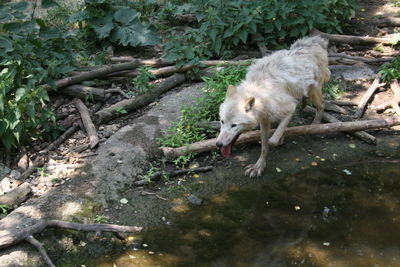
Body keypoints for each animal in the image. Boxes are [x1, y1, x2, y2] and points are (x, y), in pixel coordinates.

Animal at [217, 35, 330, 178]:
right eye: (222, 122)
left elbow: (272, 141)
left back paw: (315, 124)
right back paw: (304, 103)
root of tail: (314, 40)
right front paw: (258, 167)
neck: (260, 91)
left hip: (314, 91)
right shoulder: (264, 120)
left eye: (234, 125)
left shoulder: (289, 108)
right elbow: (264, 145)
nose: (218, 144)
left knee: (322, 105)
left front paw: (279, 139)